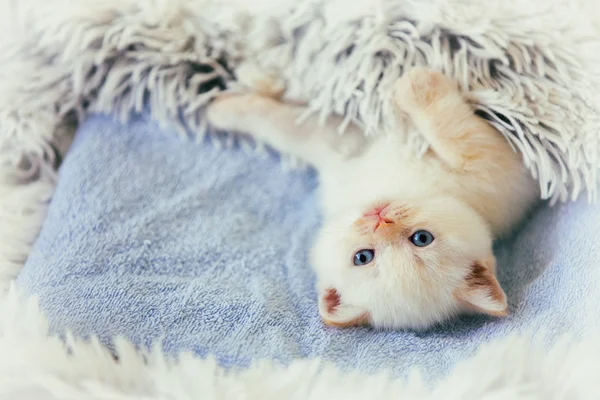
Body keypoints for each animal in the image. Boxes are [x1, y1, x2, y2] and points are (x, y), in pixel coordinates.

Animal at [207, 65, 540, 328]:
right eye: (363, 257)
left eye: (421, 239)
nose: (379, 219)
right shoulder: (341, 151)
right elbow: (282, 128)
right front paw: (223, 109)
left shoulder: (494, 168)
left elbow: (453, 130)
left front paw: (416, 82)